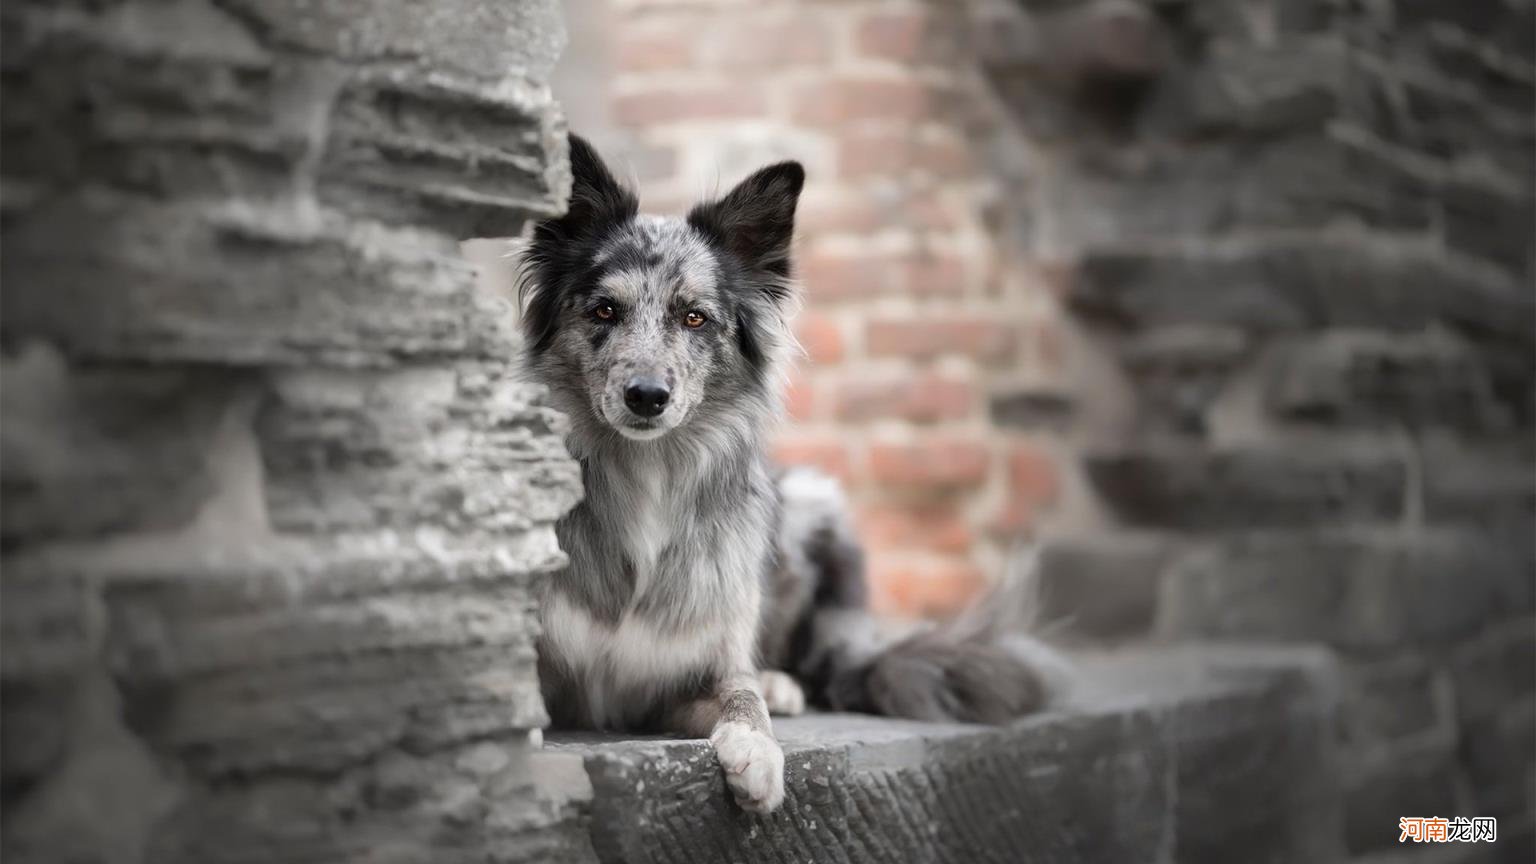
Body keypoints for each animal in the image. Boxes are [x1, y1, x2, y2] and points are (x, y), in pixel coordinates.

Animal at [516, 136, 1056, 811]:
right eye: (604, 310)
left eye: (694, 318)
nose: (647, 397)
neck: (647, 472)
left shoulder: (689, 673)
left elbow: (741, 696)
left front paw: (759, 752)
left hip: (810, 501)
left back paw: (782, 683)